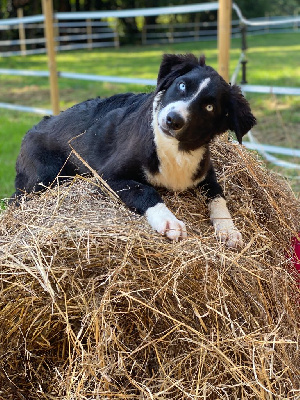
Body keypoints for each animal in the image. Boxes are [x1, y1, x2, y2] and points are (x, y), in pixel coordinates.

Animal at [11, 53, 255, 247]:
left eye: (210, 106)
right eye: (182, 85)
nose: (172, 119)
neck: (175, 150)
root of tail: (33, 128)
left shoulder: (205, 172)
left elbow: (218, 197)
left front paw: (229, 230)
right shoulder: (107, 176)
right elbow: (145, 190)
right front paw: (168, 221)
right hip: (44, 180)